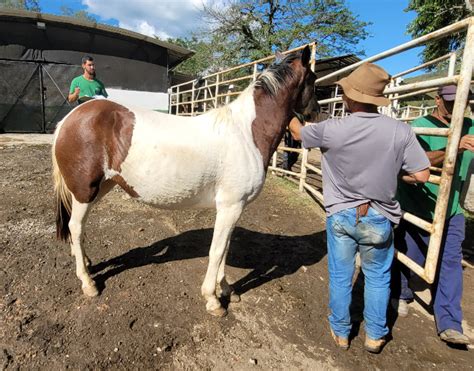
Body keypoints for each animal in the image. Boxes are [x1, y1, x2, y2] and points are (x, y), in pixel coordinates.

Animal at [52, 44, 318, 316]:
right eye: (313, 79)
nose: (316, 112)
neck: (246, 133)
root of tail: (69, 119)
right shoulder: (231, 206)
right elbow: (217, 251)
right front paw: (213, 299)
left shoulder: (233, 208)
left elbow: (225, 248)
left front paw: (227, 290)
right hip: (85, 189)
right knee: (75, 226)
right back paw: (87, 282)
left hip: (100, 187)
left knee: (79, 226)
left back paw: (85, 261)